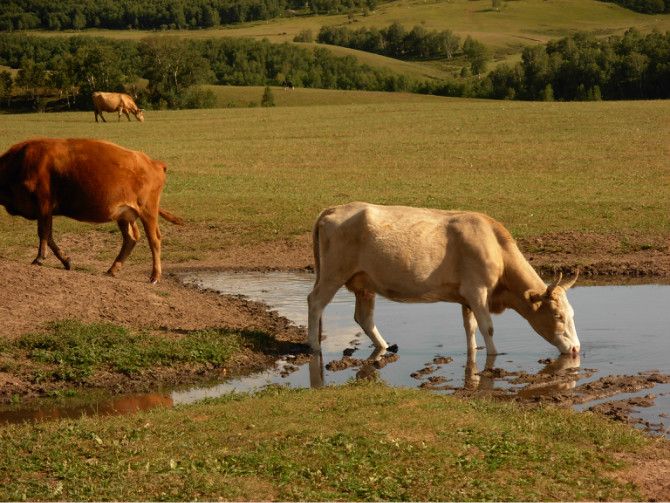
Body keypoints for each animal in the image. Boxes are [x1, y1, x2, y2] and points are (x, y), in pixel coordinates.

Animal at [0, 138, 184, 284]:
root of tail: (153, 163)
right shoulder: (46, 210)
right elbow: (49, 235)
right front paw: (66, 261)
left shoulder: (43, 204)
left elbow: (44, 233)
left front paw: (39, 258)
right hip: (125, 215)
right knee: (131, 238)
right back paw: (112, 269)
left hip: (148, 211)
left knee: (154, 240)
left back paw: (155, 276)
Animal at [310, 203, 584, 356]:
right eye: (558, 315)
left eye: (572, 314)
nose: (576, 349)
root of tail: (333, 210)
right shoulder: (477, 291)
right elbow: (487, 327)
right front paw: (494, 355)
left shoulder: (466, 298)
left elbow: (469, 327)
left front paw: (473, 352)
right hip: (333, 273)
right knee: (315, 302)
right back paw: (314, 347)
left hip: (364, 284)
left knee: (364, 317)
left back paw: (384, 347)